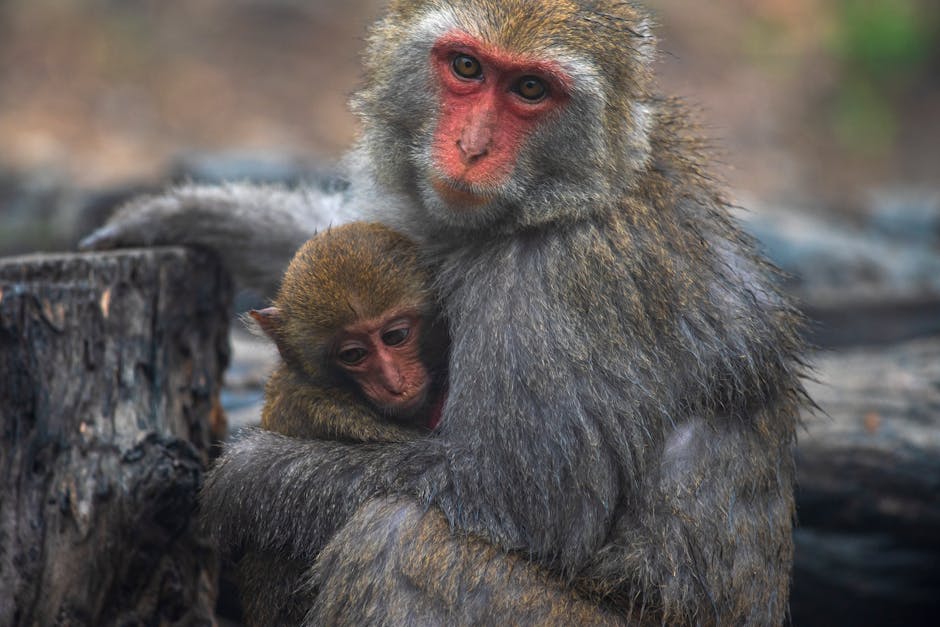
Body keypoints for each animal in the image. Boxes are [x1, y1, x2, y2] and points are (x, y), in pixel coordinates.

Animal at [82, 1, 806, 624]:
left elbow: (520, 500)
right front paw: (192, 215)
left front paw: (244, 478)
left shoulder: (556, 287)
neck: (562, 198)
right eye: (466, 68)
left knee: (394, 539)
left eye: (531, 89)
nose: (471, 148)